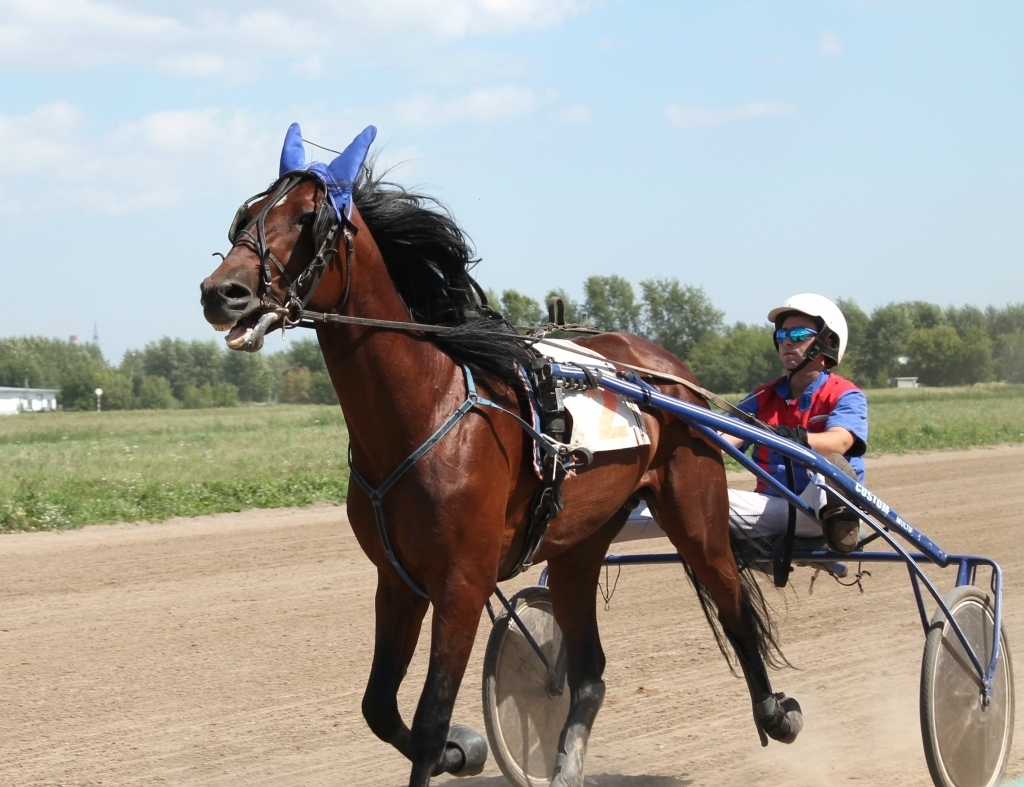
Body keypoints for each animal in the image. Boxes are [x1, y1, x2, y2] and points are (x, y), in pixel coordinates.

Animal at [199, 125, 802, 781]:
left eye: (310, 219)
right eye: (246, 216)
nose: (220, 292)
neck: (424, 411)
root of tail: (662, 366)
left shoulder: (462, 581)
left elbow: (431, 716)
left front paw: (448, 743)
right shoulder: (398, 580)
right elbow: (379, 707)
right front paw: (463, 749)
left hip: (694, 508)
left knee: (734, 602)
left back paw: (776, 711)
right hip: (578, 544)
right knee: (589, 671)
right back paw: (564, 764)